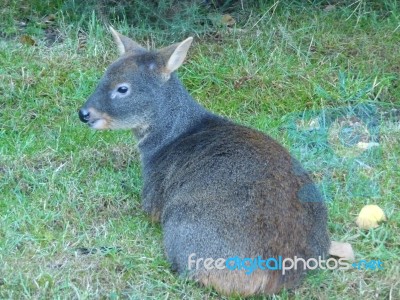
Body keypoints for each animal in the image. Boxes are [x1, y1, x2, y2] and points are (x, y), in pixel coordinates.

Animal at [79, 28, 332, 296]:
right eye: (103, 76)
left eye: (123, 88)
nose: (84, 113)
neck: (170, 137)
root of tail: (275, 270)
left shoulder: (153, 194)